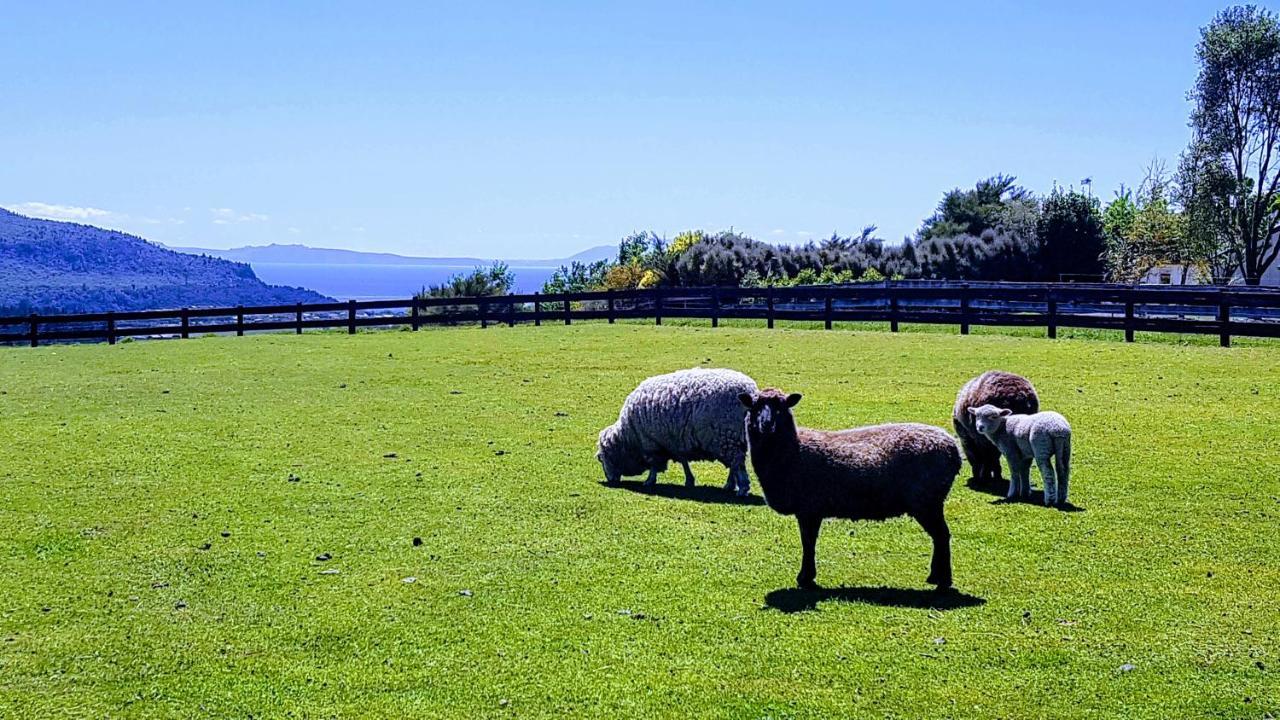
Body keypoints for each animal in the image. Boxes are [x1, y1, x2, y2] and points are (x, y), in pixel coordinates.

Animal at [593, 368, 752, 491]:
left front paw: (649, 481)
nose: (610, 480)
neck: (629, 437)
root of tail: (750, 390)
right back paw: (730, 485)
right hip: (732, 439)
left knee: (737, 462)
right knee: (734, 464)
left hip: (727, 436)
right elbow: (683, 461)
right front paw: (689, 481)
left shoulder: (651, 443)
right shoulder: (674, 442)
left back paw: (742, 488)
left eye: (602, 459)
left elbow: (654, 465)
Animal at [742, 386, 962, 589]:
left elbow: (808, 542)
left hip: (927, 501)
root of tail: (953, 449)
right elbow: (809, 542)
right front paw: (807, 576)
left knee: (942, 535)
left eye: (782, 407)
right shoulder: (810, 510)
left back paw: (943, 580)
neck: (793, 451)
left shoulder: (809, 508)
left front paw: (805, 577)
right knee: (939, 536)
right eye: (755, 406)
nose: (766, 424)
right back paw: (935, 576)